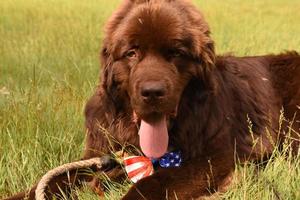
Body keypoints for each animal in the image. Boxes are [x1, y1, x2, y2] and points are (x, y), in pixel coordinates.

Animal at [5, 0, 300, 200]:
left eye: (176, 53)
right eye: (132, 53)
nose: (152, 92)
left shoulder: (218, 156)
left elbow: (151, 183)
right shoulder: (101, 154)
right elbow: (55, 179)